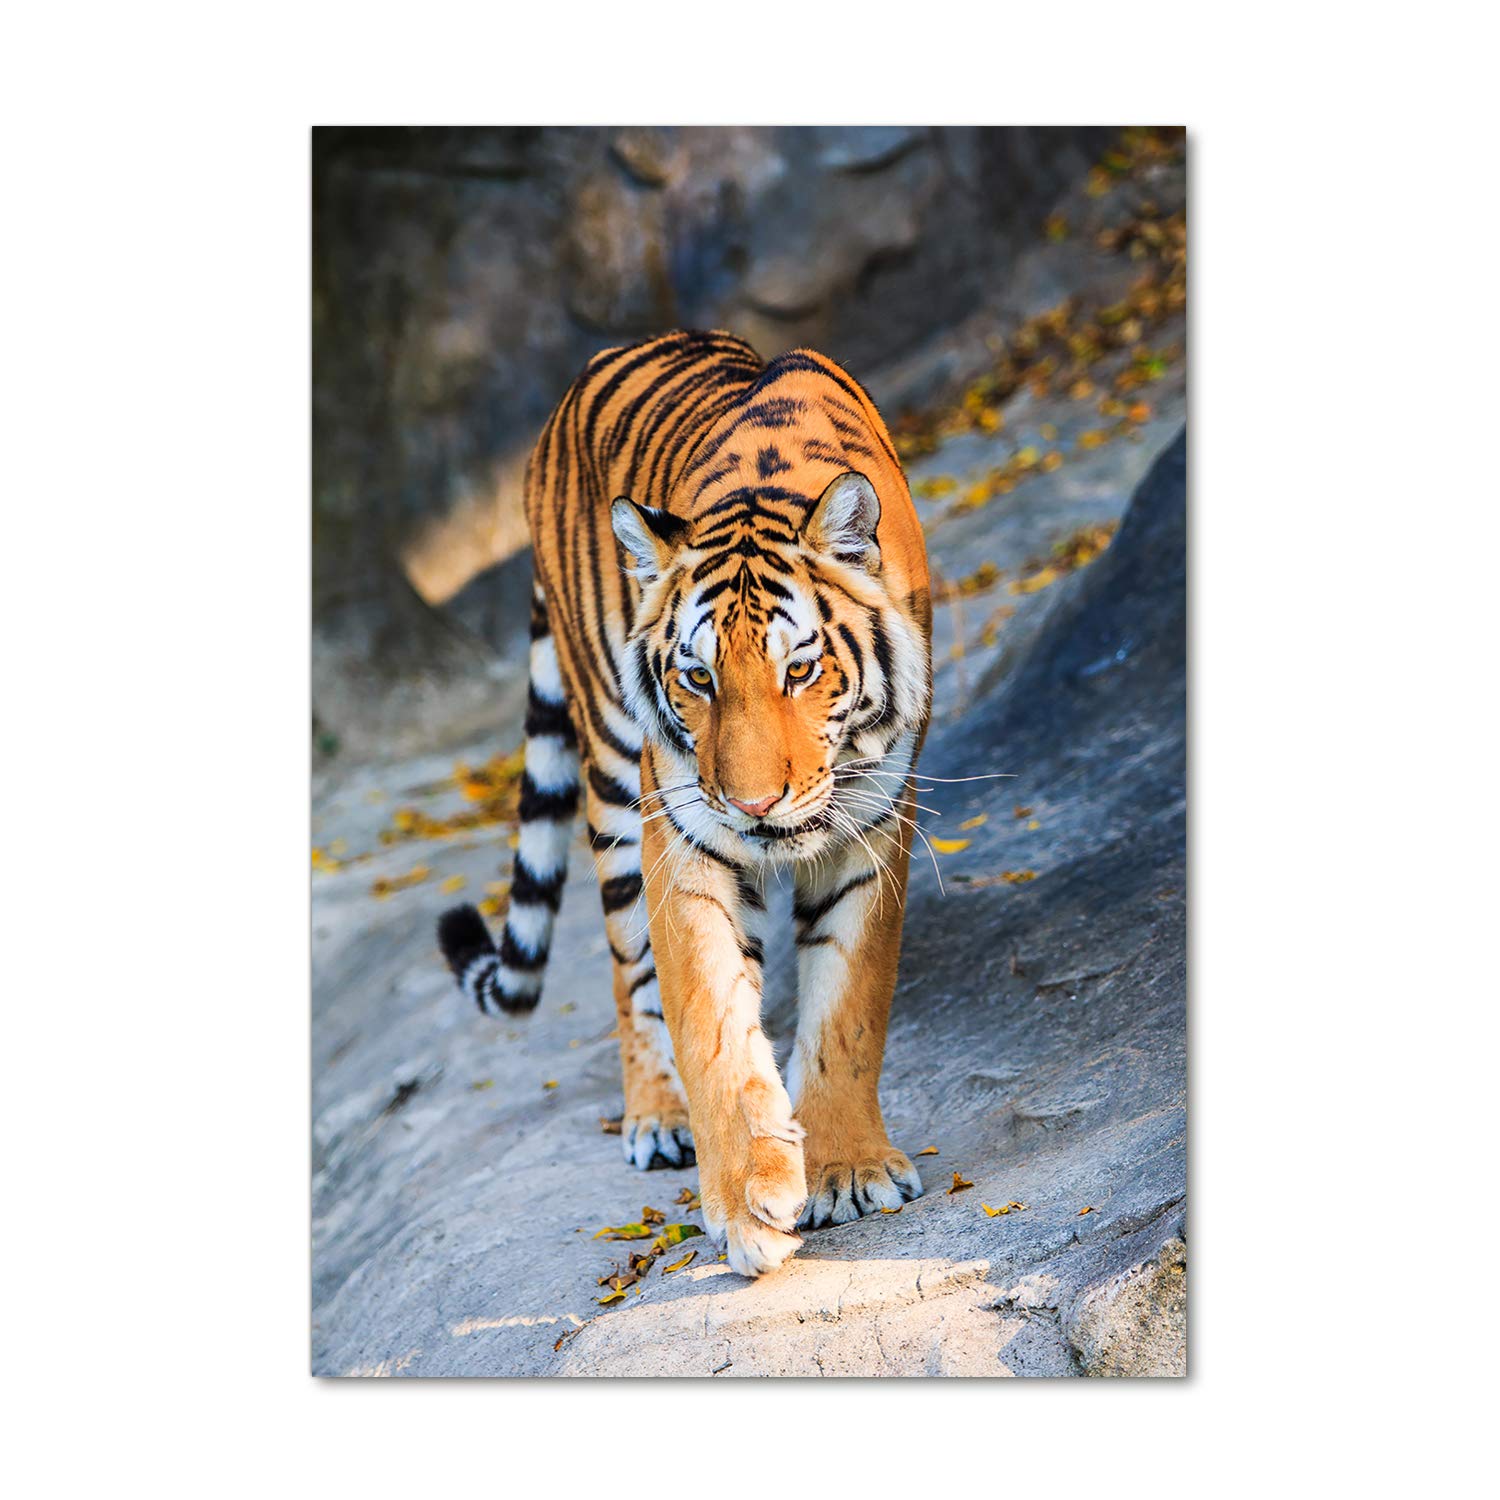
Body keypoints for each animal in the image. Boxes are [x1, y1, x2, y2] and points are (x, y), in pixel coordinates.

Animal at [437, 329, 932, 1276]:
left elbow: (849, 1007)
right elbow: (710, 1017)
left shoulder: (874, 827)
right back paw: (657, 1120)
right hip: (610, 777)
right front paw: (748, 1205)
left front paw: (847, 1171)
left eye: (800, 669)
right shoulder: (685, 838)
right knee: (628, 964)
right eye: (698, 678)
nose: (755, 803)